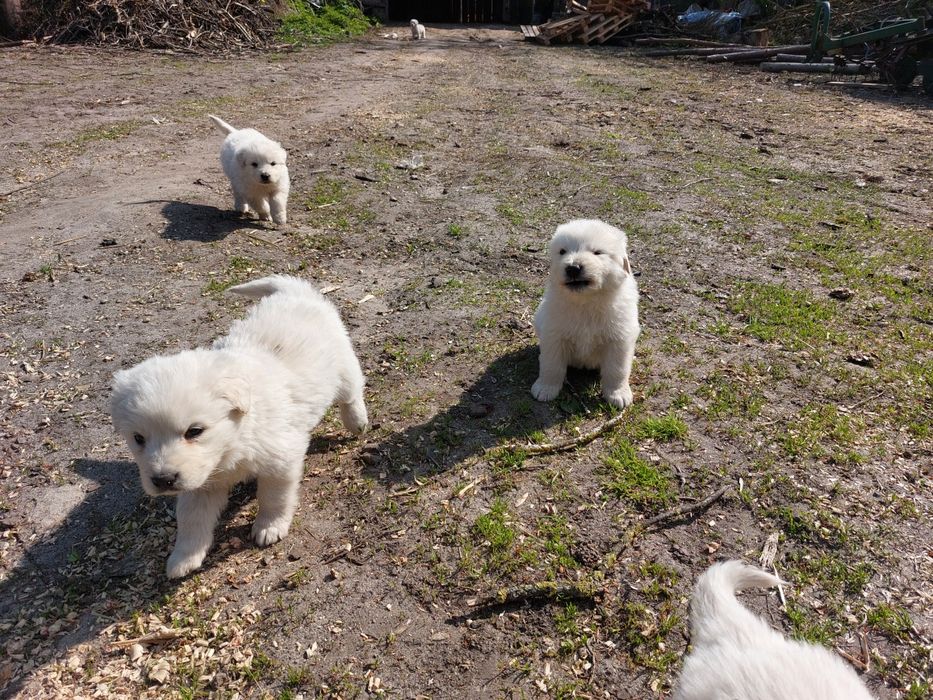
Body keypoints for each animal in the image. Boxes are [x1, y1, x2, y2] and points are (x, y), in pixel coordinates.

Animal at [111, 276, 366, 576]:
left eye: (194, 431)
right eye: (138, 438)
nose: (163, 480)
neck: (233, 442)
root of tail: (296, 293)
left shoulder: (281, 460)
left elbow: (274, 497)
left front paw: (269, 527)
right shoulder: (201, 483)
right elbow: (190, 518)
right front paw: (183, 558)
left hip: (343, 369)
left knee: (351, 394)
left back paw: (357, 421)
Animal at [532, 219, 640, 410]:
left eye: (597, 252)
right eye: (562, 251)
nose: (573, 268)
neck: (586, 301)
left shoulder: (619, 340)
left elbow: (617, 370)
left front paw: (618, 393)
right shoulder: (553, 336)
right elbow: (551, 365)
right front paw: (545, 388)